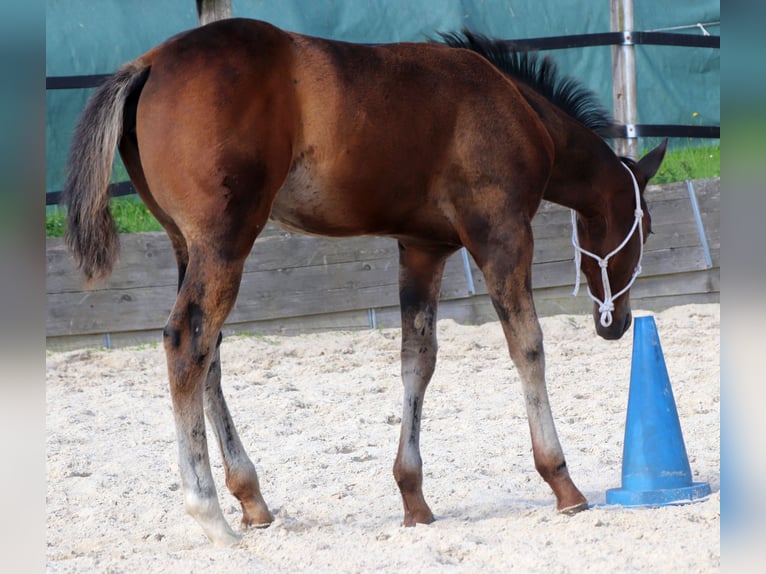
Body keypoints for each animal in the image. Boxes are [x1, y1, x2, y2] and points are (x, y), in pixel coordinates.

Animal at [63, 18, 667, 546]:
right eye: (646, 228)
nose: (617, 324)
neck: (516, 109)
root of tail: (149, 64)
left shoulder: (423, 249)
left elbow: (417, 359)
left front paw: (414, 499)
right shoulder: (501, 235)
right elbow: (529, 347)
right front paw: (562, 482)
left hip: (187, 246)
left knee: (209, 354)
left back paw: (251, 500)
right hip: (224, 242)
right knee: (188, 343)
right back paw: (211, 515)